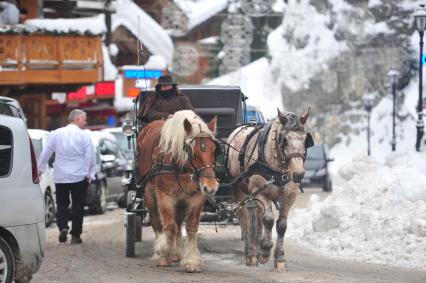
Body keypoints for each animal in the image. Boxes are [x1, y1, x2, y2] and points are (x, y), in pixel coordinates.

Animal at [138, 110, 220, 274]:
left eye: (214, 150)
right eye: (193, 152)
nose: (211, 187)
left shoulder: (196, 197)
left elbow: (191, 227)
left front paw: (191, 261)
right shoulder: (164, 196)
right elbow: (168, 226)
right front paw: (163, 253)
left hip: (181, 200)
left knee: (178, 221)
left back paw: (176, 253)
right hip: (149, 193)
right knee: (157, 221)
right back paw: (160, 253)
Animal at [226, 108, 312, 270]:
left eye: (306, 140)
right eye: (284, 140)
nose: (298, 174)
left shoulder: (290, 196)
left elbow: (282, 225)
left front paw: (279, 258)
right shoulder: (261, 190)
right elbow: (269, 219)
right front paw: (265, 251)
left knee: (256, 217)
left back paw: (256, 247)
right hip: (239, 189)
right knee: (245, 217)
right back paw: (251, 253)